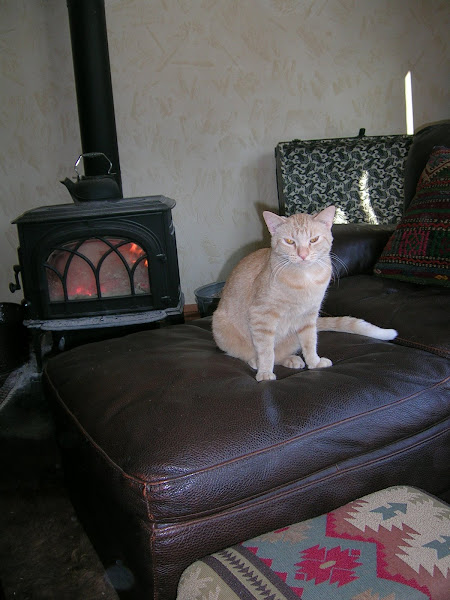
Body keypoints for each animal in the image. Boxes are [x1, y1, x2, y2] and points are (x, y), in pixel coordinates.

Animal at [212, 206, 398, 382]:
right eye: (289, 241)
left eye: (314, 240)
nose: (303, 254)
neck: (305, 279)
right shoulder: (262, 316)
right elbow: (266, 350)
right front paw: (265, 372)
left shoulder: (308, 317)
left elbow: (310, 343)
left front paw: (314, 363)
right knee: (248, 353)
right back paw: (256, 362)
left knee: (280, 353)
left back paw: (291, 359)